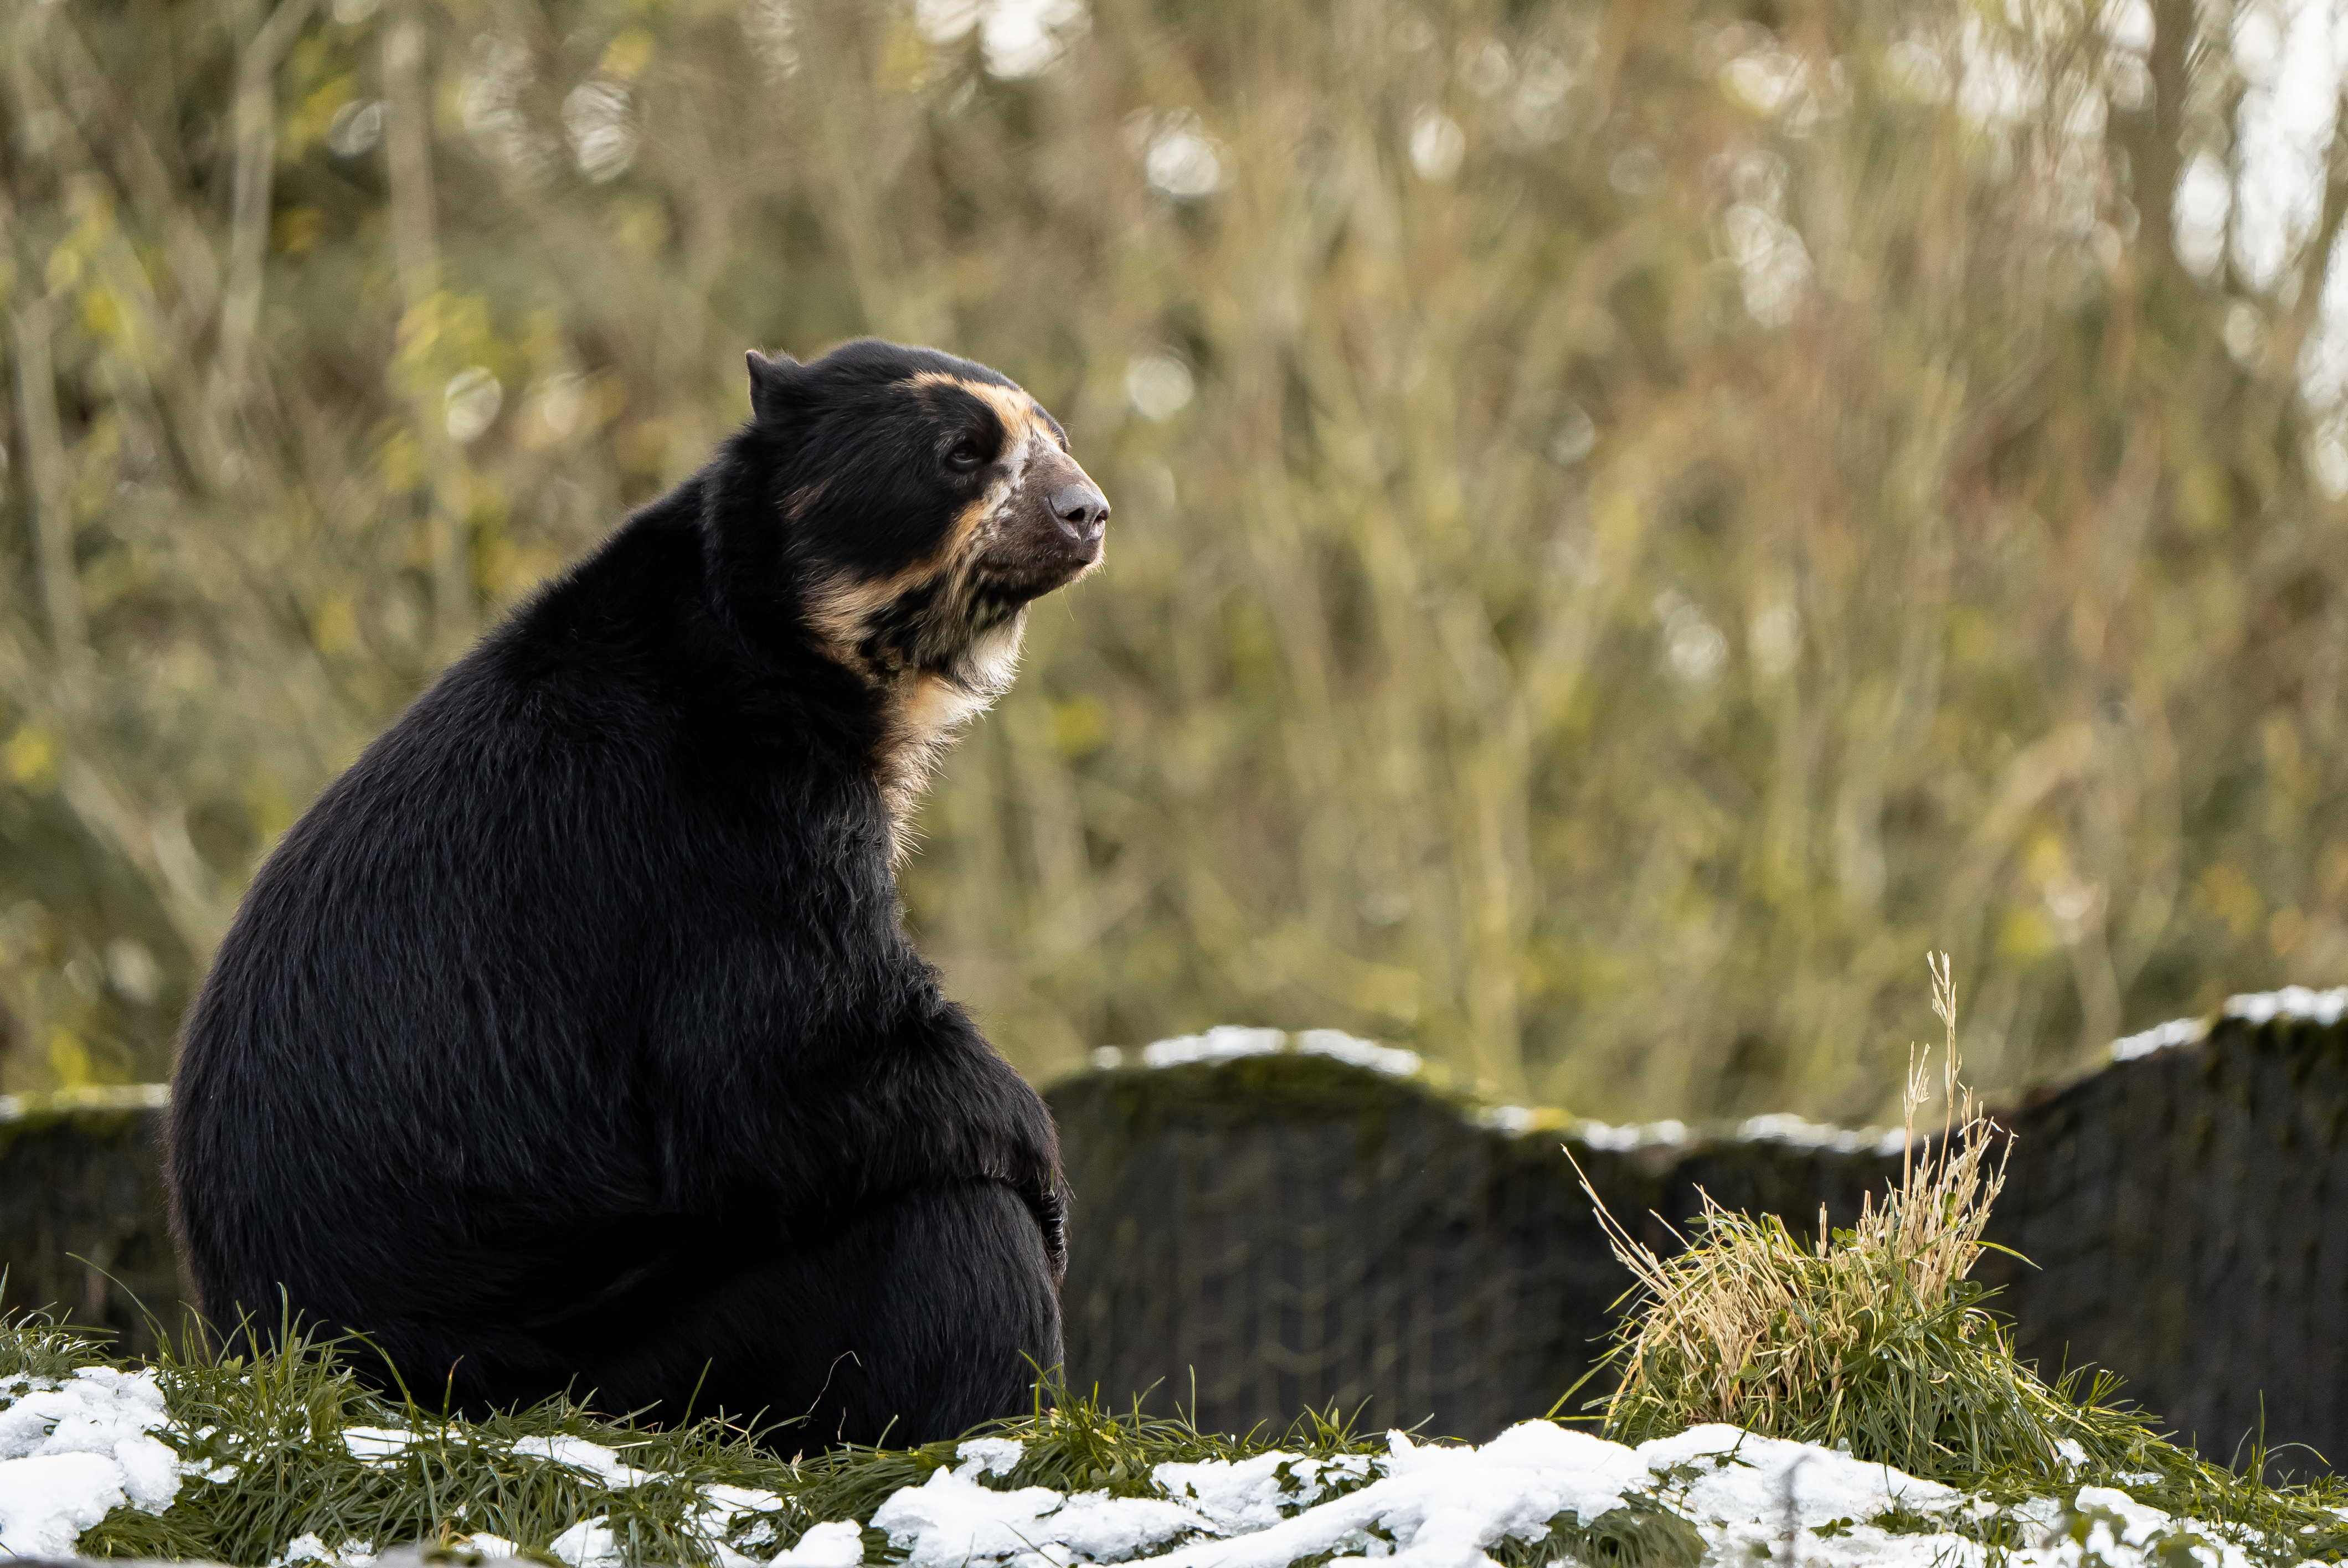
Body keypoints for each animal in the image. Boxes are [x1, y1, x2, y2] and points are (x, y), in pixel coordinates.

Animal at [166, 339, 1109, 1448]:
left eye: (1055, 436)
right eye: (963, 454)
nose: (1087, 512)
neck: (790, 649)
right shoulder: (727, 830)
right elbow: (782, 1061)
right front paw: (1047, 1180)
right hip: (640, 1360)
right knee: (946, 1226)